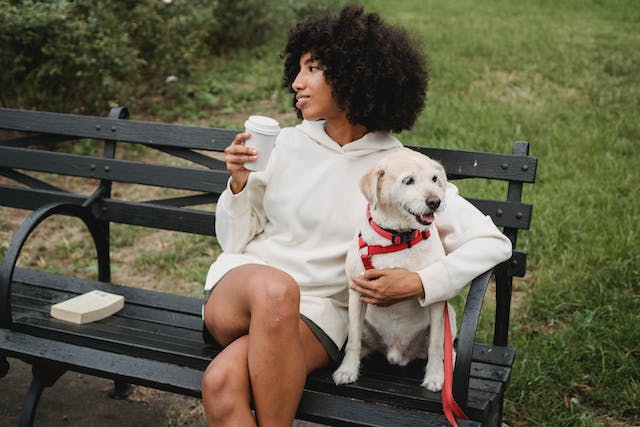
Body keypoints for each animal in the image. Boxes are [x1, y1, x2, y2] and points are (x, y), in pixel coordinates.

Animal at [332, 150, 458, 392]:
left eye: (434, 179)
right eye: (408, 180)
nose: (435, 202)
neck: (398, 238)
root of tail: (397, 353)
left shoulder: (438, 304)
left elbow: (436, 345)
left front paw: (435, 376)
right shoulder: (357, 292)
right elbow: (352, 340)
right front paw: (347, 370)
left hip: (450, 319)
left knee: (448, 351)